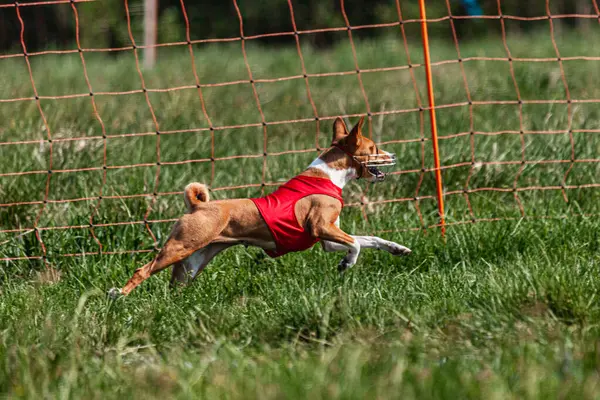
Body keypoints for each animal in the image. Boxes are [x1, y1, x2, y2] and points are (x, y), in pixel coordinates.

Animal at [108, 115, 412, 296]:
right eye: (374, 149)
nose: (394, 155)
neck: (327, 175)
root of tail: (198, 207)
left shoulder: (329, 238)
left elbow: (370, 239)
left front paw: (398, 248)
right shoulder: (320, 228)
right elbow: (357, 244)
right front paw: (346, 264)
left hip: (192, 262)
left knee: (174, 286)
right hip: (180, 247)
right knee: (142, 270)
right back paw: (118, 295)